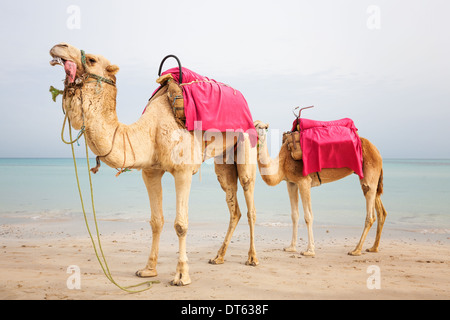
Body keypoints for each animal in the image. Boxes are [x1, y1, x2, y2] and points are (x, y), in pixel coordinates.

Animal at [253, 119, 386, 256]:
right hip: (373, 176)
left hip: (370, 170)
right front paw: (291, 247)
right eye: (256, 125)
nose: (261, 130)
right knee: (380, 209)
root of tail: (377, 151)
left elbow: (308, 216)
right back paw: (373, 248)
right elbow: (294, 215)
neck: (282, 162)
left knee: (370, 211)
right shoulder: (291, 183)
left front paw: (309, 250)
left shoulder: (304, 181)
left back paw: (356, 250)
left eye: (265, 127)